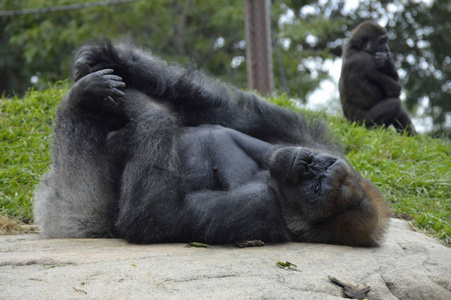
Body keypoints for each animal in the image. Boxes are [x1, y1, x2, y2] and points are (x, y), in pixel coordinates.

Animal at [34, 40, 388, 246]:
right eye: (320, 165)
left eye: (315, 188)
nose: (306, 164)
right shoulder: (304, 135)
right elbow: (214, 106)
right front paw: (110, 57)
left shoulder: (260, 210)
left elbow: (154, 216)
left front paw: (149, 110)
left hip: (73, 213)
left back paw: (81, 99)